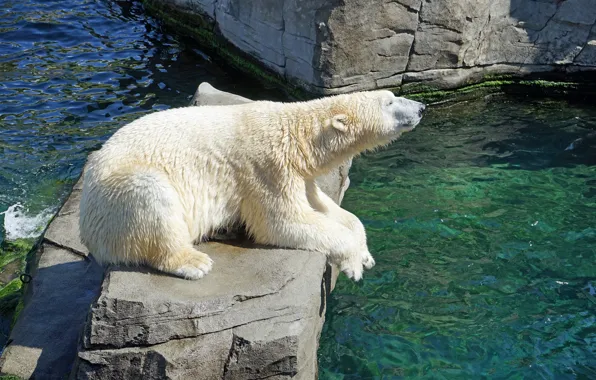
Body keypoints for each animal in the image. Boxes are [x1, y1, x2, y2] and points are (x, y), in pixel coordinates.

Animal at [80, 91, 424, 282]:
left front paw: (365, 254)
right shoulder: (267, 168)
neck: (297, 134)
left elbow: (327, 209)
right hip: (117, 195)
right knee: (151, 196)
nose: (421, 107)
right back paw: (194, 262)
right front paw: (353, 264)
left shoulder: (298, 174)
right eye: (390, 101)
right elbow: (281, 222)